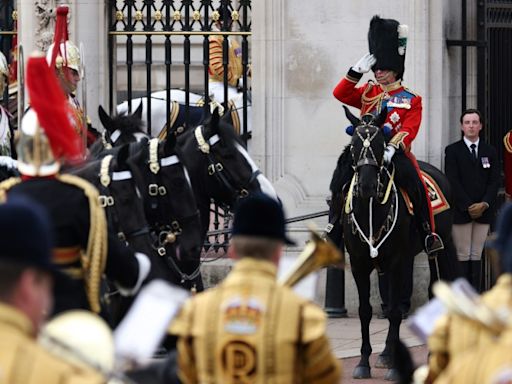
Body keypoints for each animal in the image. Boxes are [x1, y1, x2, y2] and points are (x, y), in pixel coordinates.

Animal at [330, 106, 462, 380]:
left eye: (381, 143)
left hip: (437, 247)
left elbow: (392, 310)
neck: (370, 210)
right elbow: (366, 311)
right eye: (354, 144)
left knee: (432, 290)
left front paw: (392, 365)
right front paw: (364, 362)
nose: (367, 185)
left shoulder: (395, 262)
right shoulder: (359, 264)